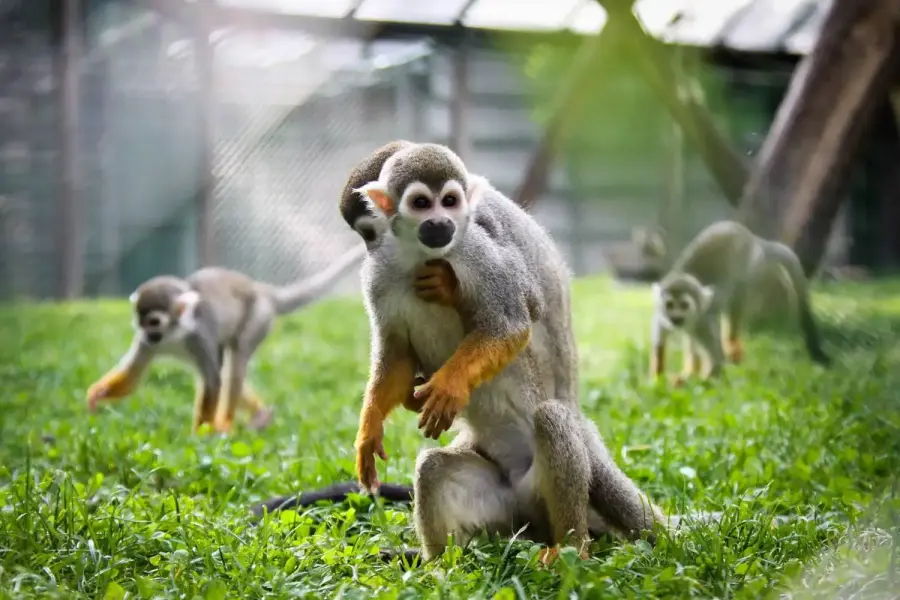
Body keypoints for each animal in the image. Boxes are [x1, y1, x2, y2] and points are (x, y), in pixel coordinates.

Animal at [350, 143, 660, 564]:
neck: (418, 255)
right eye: (420, 203)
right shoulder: (378, 273)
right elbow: (394, 355)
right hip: (504, 507)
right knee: (432, 466)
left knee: (551, 418)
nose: (440, 223)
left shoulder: (479, 249)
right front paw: (369, 430)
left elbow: (511, 323)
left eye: (449, 201)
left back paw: (571, 548)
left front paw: (449, 385)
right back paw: (438, 566)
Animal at [648, 220, 828, 384]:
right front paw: (658, 380)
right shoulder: (661, 317)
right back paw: (690, 371)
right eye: (670, 305)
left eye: (684, 306)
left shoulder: (702, 322)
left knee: (735, 306)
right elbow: (659, 345)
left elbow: (717, 360)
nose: (676, 318)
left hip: (750, 269)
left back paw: (733, 348)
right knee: (693, 336)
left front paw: (697, 385)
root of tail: (754, 239)